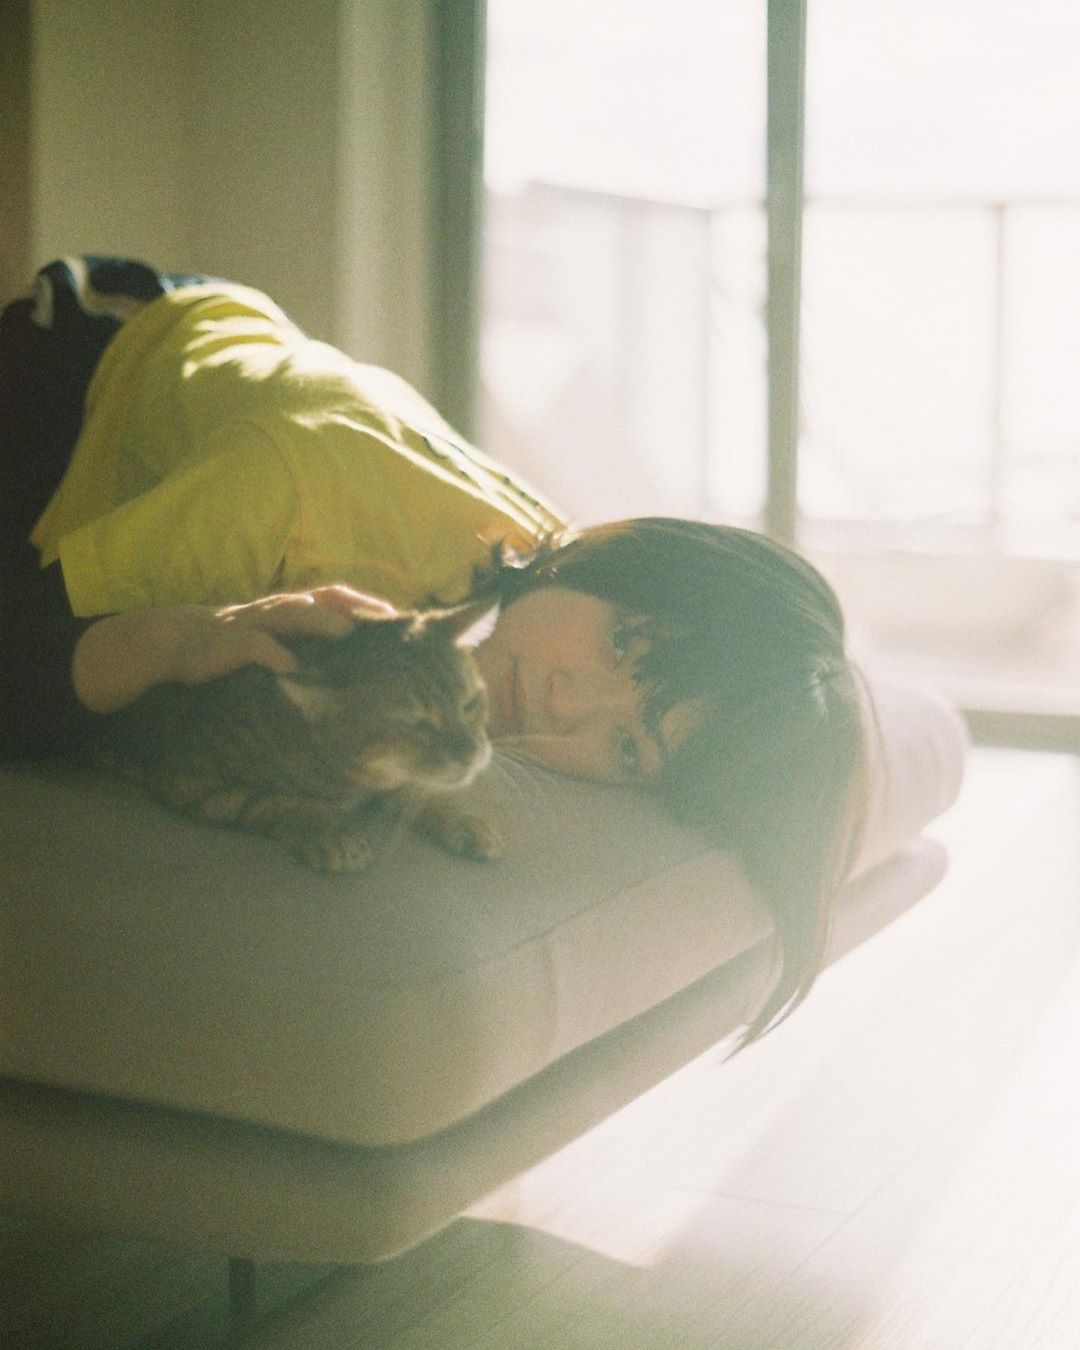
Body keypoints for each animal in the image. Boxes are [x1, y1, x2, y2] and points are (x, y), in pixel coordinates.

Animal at [94, 602, 502, 872]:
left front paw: (457, 818)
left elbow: (415, 794)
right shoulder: (191, 783)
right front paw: (330, 830)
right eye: (414, 722)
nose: (472, 752)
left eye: (469, 704)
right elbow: (285, 802)